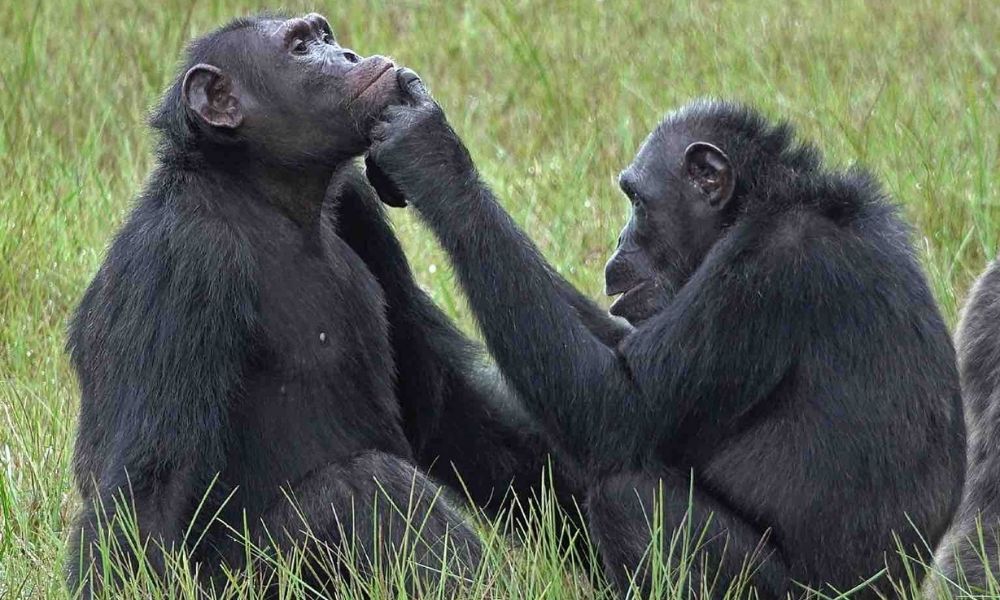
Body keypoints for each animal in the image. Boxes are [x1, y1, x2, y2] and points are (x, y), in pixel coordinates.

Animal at [66, 14, 584, 596]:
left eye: (324, 36)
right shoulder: (182, 260)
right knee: (367, 486)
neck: (264, 194)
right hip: (244, 581)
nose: (348, 55)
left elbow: (443, 401)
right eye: (300, 47)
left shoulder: (359, 207)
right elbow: (151, 485)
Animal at [368, 76, 968, 600]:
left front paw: (430, 155)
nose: (619, 242)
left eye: (636, 200)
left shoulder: (768, 274)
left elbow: (618, 407)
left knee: (627, 495)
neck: (759, 206)